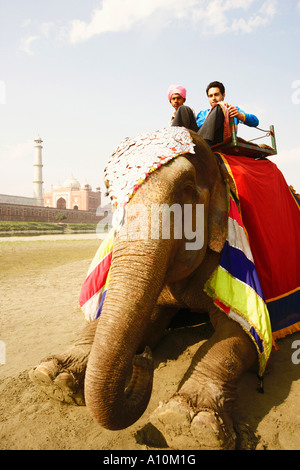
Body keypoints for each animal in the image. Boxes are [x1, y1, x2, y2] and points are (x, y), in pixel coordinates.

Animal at [29, 127, 268, 448]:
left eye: (187, 188)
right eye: (110, 195)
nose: (143, 359)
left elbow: (241, 334)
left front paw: (189, 425)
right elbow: (147, 322)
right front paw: (53, 376)